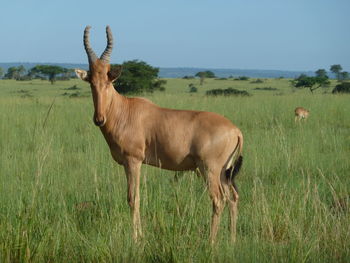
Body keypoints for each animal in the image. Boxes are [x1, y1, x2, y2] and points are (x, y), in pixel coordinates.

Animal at [74, 25, 243, 244]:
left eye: (108, 81)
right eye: (91, 82)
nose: (99, 119)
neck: (125, 110)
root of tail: (235, 130)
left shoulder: (133, 161)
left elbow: (133, 198)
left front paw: (136, 238)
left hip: (210, 169)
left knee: (218, 200)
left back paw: (211, 242)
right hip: (224, 171)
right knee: (233, 197)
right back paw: (232, 240)